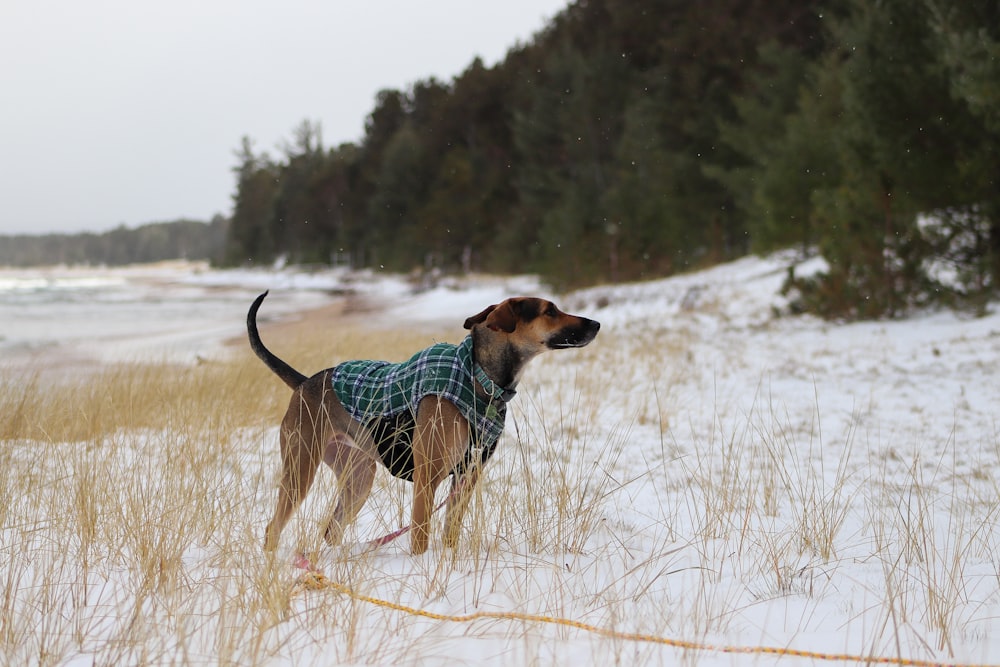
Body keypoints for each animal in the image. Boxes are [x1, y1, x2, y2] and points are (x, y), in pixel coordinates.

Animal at [248, 294, 600, 556]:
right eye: (550, 310)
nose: (596, 323)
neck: (478, 378)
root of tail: (305, 382)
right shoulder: (427, 476)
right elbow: (420, 535)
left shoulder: (468, 476)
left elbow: (450, 531)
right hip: (300, 469)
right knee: (272, 528)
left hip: (358, 478)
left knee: (331, 530)